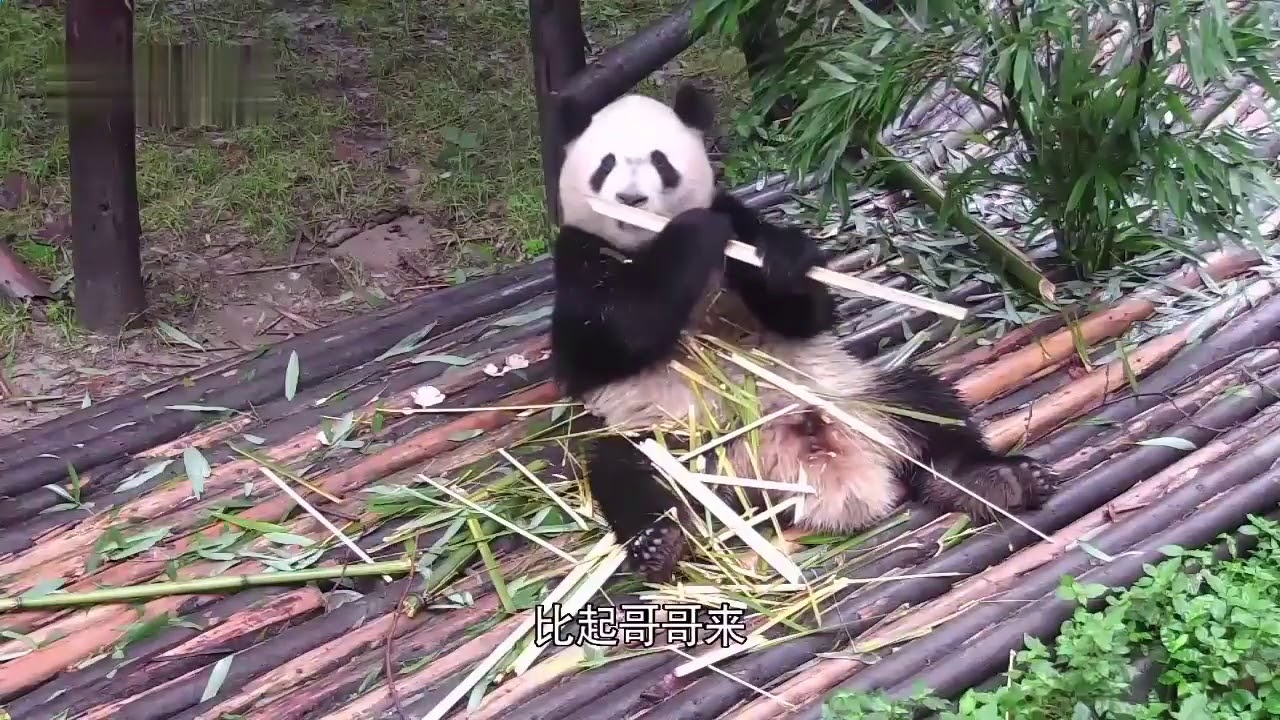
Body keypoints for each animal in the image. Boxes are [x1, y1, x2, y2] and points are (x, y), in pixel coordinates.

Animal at [549, 82, 1055, 584]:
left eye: (660, 162)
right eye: (605, 165)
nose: (631, 199)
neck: (643, 242)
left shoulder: (737, 214)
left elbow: (806, 311)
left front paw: (783, 259)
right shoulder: (578, 258)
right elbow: (613, 333)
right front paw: (693, 232)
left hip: (858, 394)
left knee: (930, 408)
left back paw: (997, 480)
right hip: (683, 444)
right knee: (628, 472)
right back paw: (660, 543)